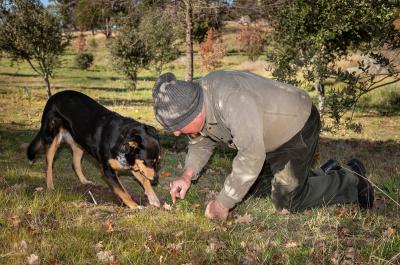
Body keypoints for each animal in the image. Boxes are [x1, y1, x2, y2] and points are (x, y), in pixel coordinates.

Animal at [26, 90, 162, 208]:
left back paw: (84, 181)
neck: (122, 141)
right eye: (149, 162)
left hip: (80, 142)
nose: (156, 180)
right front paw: (135, 206)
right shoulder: (108, 171)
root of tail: (54, 96)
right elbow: (124, 192)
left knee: (75, 163)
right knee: (49, 165)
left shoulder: (132, 163)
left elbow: (145, 180)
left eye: (158, 162)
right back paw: (50, 186)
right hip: (52, 139)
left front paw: (153, 198)